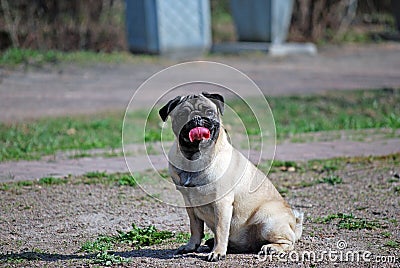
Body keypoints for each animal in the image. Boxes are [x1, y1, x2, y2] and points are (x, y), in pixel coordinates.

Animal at [159, 92, 304, 262]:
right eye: (182, 115)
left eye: (209, 112)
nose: (196, 117)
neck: (195, 157)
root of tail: (294, 223)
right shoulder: (189, 204)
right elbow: (195, 228)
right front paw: (191, 246)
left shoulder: (222, 203)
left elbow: (221, 229)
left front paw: (218, 252)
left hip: (268, 220)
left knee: (289, 242)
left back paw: (272, 248)